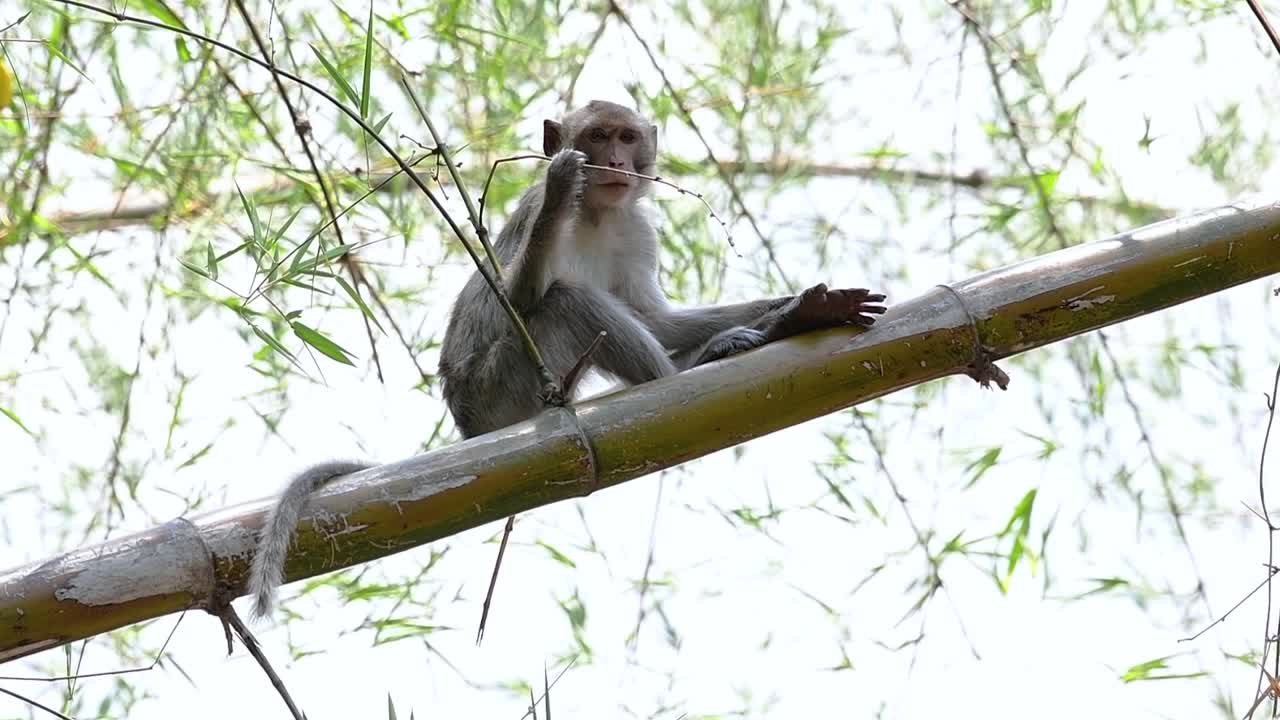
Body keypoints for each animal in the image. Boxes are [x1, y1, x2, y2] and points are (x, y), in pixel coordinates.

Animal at [245, 100, 886, 620]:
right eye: (598, 136)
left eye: (627, 137)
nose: (617, 162)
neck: (600, 214)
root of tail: (469, 428)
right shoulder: (532, 214)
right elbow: (520, 295)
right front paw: (561, 188)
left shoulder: (637, 228)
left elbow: (654, 318)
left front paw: (805, 308)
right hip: (503, 385)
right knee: (563, 300)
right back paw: (686, 371)